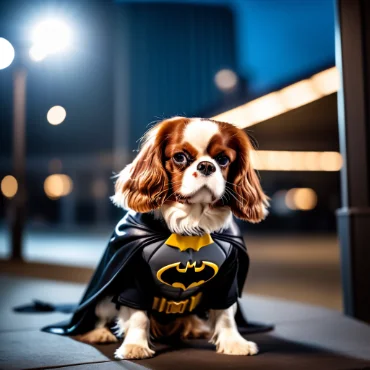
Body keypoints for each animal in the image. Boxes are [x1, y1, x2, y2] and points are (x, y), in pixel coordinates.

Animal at [73, 116, 268, 358]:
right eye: (180, 157)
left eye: (223, 160)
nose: (206, 166)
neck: (192, 225)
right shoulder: (133, 273)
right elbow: (138, 316)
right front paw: (135, 346)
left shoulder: (228, 276)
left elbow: (225, 313)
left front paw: (234, 342)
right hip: (106, 298)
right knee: (101, 313)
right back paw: (99, 333)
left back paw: (195, 328)